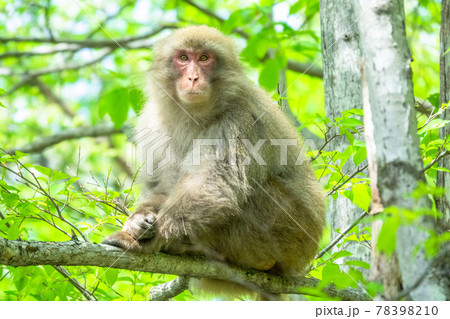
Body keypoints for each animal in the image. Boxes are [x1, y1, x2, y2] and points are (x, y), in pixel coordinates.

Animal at [103, 25, 326, 300]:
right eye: (183, 58)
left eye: (204, 58)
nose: (193, 78)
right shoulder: (153, 121)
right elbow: (162, 186)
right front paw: (138, 220)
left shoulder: (239, 117)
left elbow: (218, 182)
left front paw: (150, 240)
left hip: (288, 234)